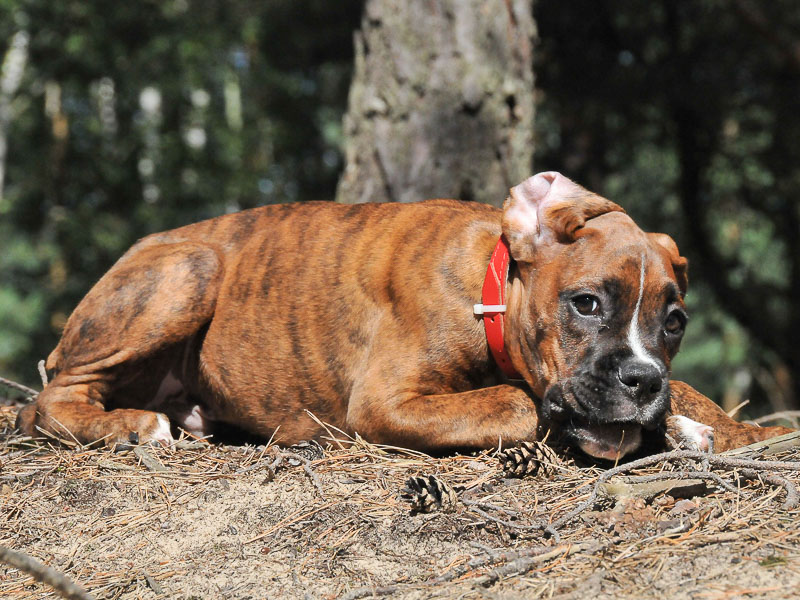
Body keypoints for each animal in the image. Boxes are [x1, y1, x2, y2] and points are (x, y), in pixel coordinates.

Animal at [15, 172, 792, 460]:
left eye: (675, 321)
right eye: (586, 303)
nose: (639, 380)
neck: (488, 289)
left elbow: (693, 395)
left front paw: (720, 426)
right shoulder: (386, 401)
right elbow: (517, 404)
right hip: (189, 274)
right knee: (47, 401)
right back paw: (132, 425)